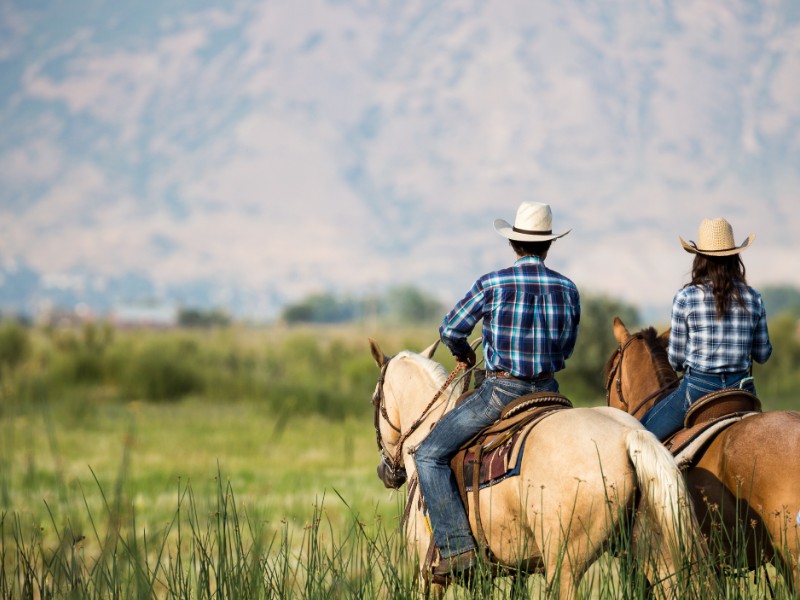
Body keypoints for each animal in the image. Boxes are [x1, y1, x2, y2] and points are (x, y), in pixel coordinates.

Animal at [370, 340, 708, 596]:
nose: (385, 472)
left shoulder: (426, 575)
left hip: (565, 565)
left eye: (374, 399)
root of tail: (628, 436)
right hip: (658, 554)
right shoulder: (511, 570)